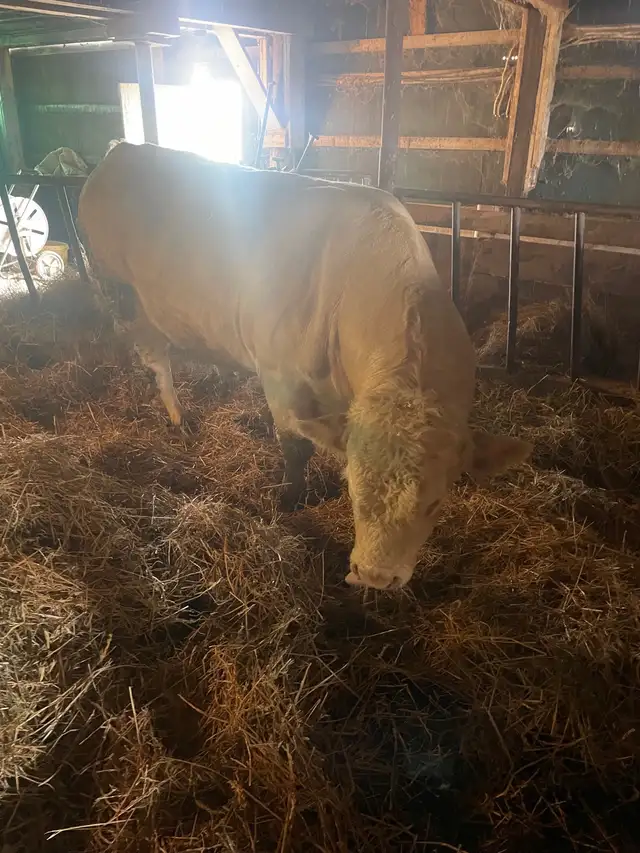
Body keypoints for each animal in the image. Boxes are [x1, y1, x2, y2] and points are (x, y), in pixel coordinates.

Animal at [77, 142, 532, 591]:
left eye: (436, 502)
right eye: (353, 491)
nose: (375, 576)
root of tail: (121, 151)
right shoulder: (282, 378)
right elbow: (296, 447)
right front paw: (291, 498)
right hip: (122, 294)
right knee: (156, 361)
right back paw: (177, 416)